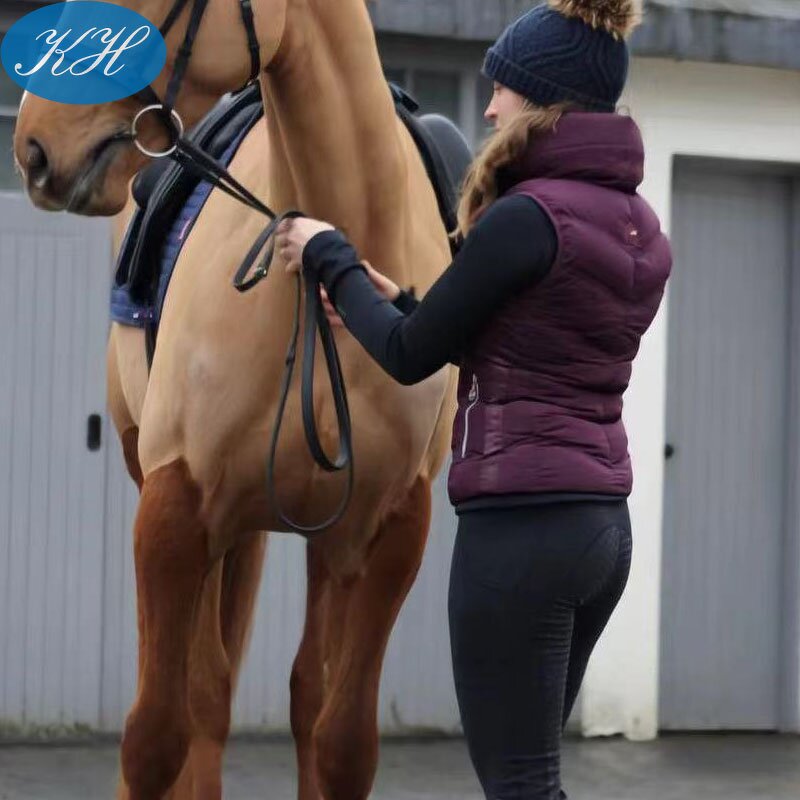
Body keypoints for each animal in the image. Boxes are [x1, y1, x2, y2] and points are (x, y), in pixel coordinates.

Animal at [14, 1, 457, 798]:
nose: (34, 145)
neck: (324, 280)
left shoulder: (389, 530)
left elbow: (343, 742)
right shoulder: (176, 512)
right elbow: (155, 736)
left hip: (314, 540)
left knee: (296, 690)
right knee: (205, 695)